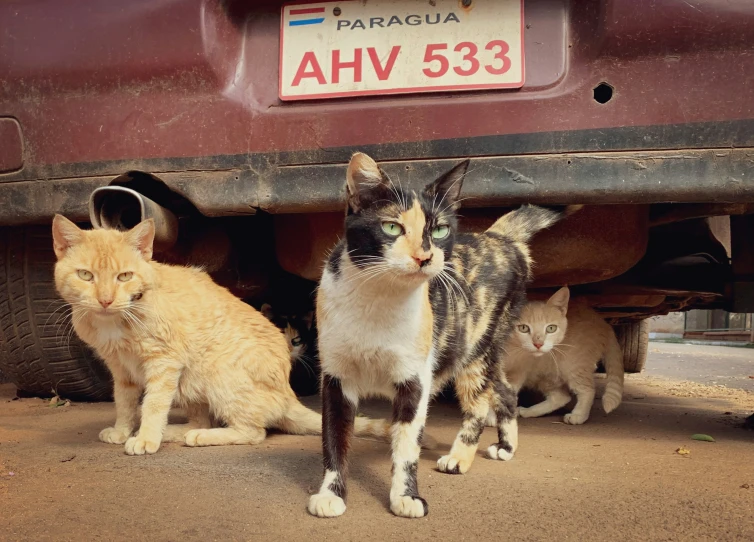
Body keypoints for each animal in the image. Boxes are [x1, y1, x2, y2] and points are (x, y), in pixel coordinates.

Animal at [50, 216, 384, 454]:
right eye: (85, 276)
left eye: (124, 276)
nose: (105, 300)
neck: (118, 318)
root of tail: (288, 393)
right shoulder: (122, 371)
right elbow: (125, 403)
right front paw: (123, 430)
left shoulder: (164, 363)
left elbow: (154, 404)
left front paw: (145, 438)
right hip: (189, 383)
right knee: (202, 417)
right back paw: (176, 431)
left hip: (217, 374)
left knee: (253, 432)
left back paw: (197, 435)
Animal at [306, 154, 576, 524]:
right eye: (392, 227)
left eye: (440, 230)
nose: (425, 256)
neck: (378, 301)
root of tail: (498, 238)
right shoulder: (336, 377)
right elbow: (334, 437)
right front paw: (331, 494)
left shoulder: (415, 378)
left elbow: (407, 445)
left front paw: (406, 497)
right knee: (506, 392)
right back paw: (506, 447)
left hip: (477, 348)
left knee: (479, 402)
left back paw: (460, 457)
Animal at [490, 286, 620, 428]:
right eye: (523, 328)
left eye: (551, 328)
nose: (538, 344)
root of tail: (604, 323)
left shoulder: (517, 371)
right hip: (545, 374)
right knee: (561, 397)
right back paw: (529, 411)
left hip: (573, 366)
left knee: (587, 390)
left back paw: (578, 415)